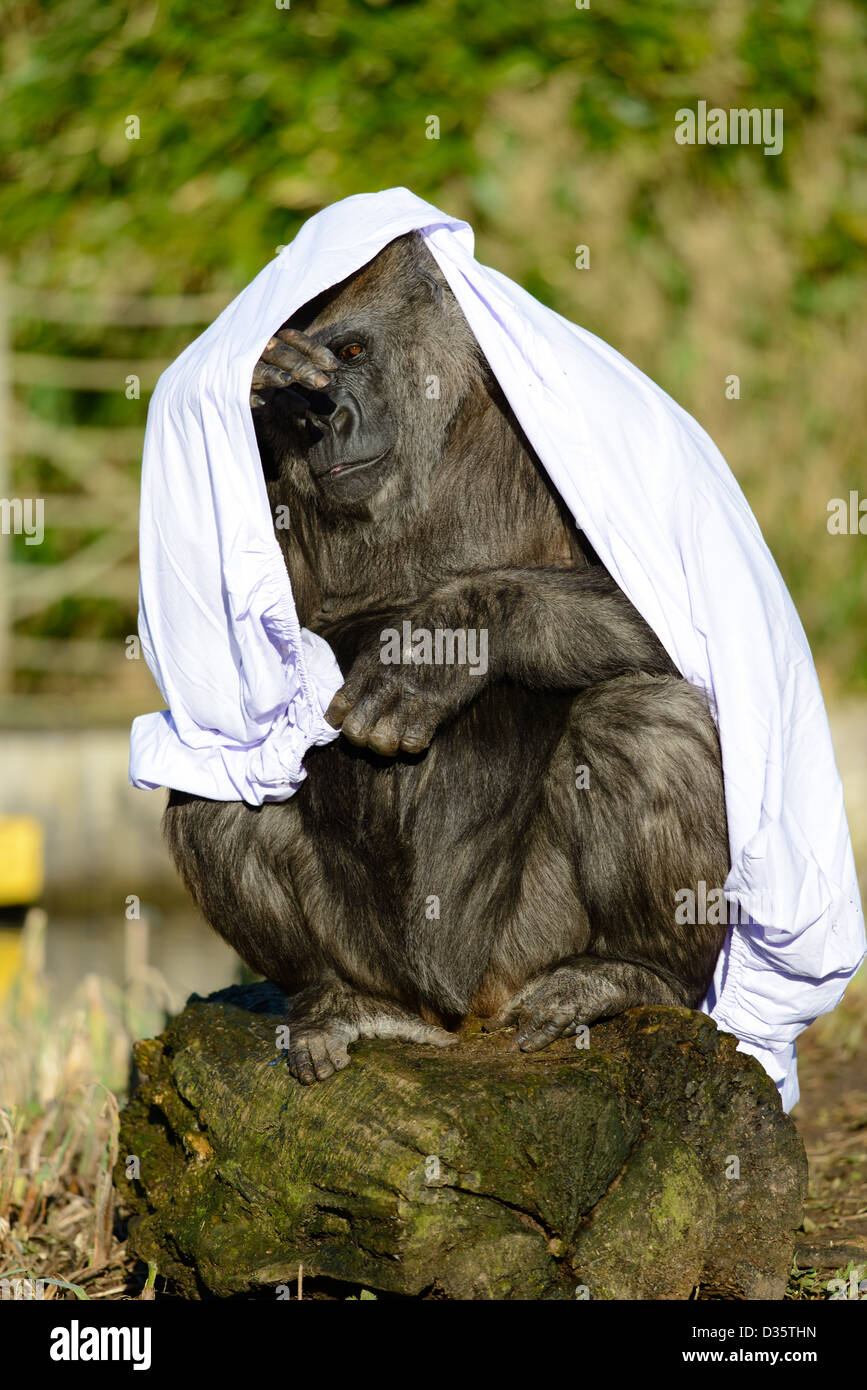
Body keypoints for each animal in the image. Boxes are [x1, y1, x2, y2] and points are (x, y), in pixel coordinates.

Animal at [163, 233, 733, 1084]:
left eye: (352, 351)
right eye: (315, 378)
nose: (329, 419)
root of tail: (461, 1010)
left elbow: (683, 620)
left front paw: (437, 645)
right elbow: (226, 660)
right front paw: (259, 394)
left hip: (527, 945)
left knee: (643, 715)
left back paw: (631, 973)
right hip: (379, 960)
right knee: (222, 762)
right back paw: (336, 1002)